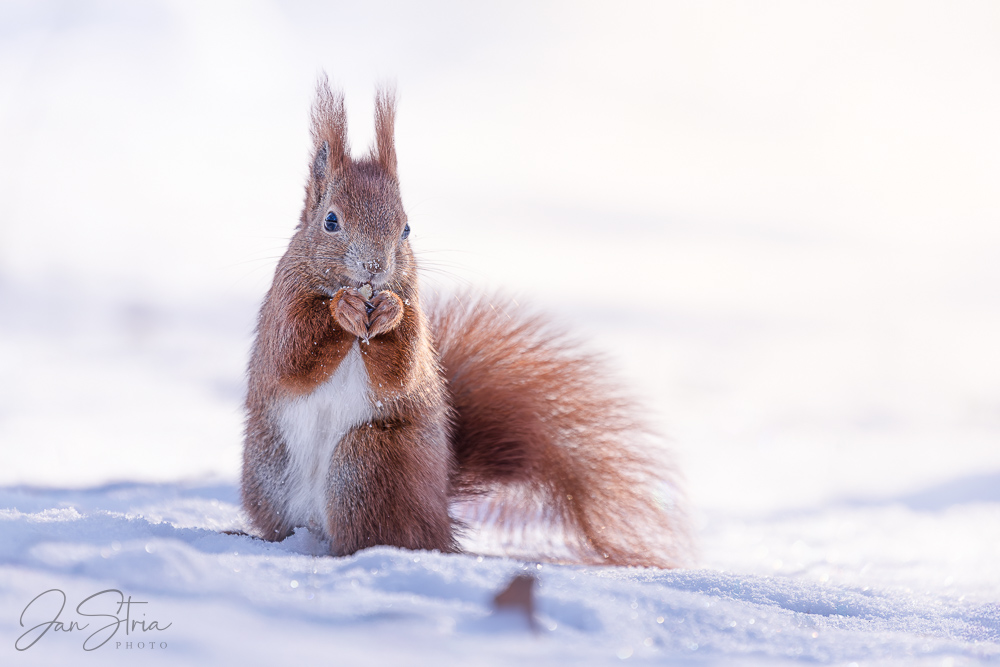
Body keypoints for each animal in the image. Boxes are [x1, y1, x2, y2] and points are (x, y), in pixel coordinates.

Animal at [244, 77, 696, 568]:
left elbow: (400, 370)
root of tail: (438, 509)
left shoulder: (415, 315)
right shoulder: (283, 305)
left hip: (366, 460)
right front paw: (339, 309)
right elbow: (293, 355)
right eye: (330, 221)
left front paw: (389, 313)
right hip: (271, 470)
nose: (374, 269)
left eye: (406, 228)